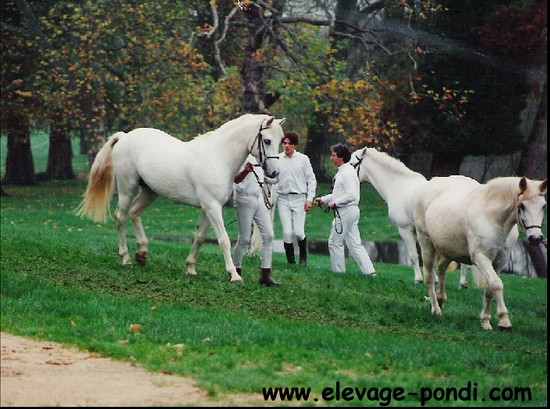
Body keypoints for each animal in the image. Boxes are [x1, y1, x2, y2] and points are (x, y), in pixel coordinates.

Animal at [75, 113, 286, 282]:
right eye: (267, 141)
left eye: (281, 140)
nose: (274, 173)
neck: (218, 157)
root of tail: (125, 136)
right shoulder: (212, 207)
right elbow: (224, 240)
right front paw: (234, 275)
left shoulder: (207, 208)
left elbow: (200, 237)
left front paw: (191, 268)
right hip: (128, 188)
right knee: (121, 217)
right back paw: (126, 257)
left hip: (150, 192)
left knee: (134, 213)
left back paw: (142, 253)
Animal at [414, 175, 548, 328]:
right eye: (522, 205)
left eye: (543, 206)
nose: (536, 238)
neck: (491, 217)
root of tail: (431, 182)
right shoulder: (480, 257)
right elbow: (496, 284)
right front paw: (504, 321)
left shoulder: (500, 262)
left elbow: (490, 289)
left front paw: (485, 321)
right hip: (426, 242)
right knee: (430, 276)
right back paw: (436, 310)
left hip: (449, 249)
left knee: (441, 269)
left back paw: (441, 300)